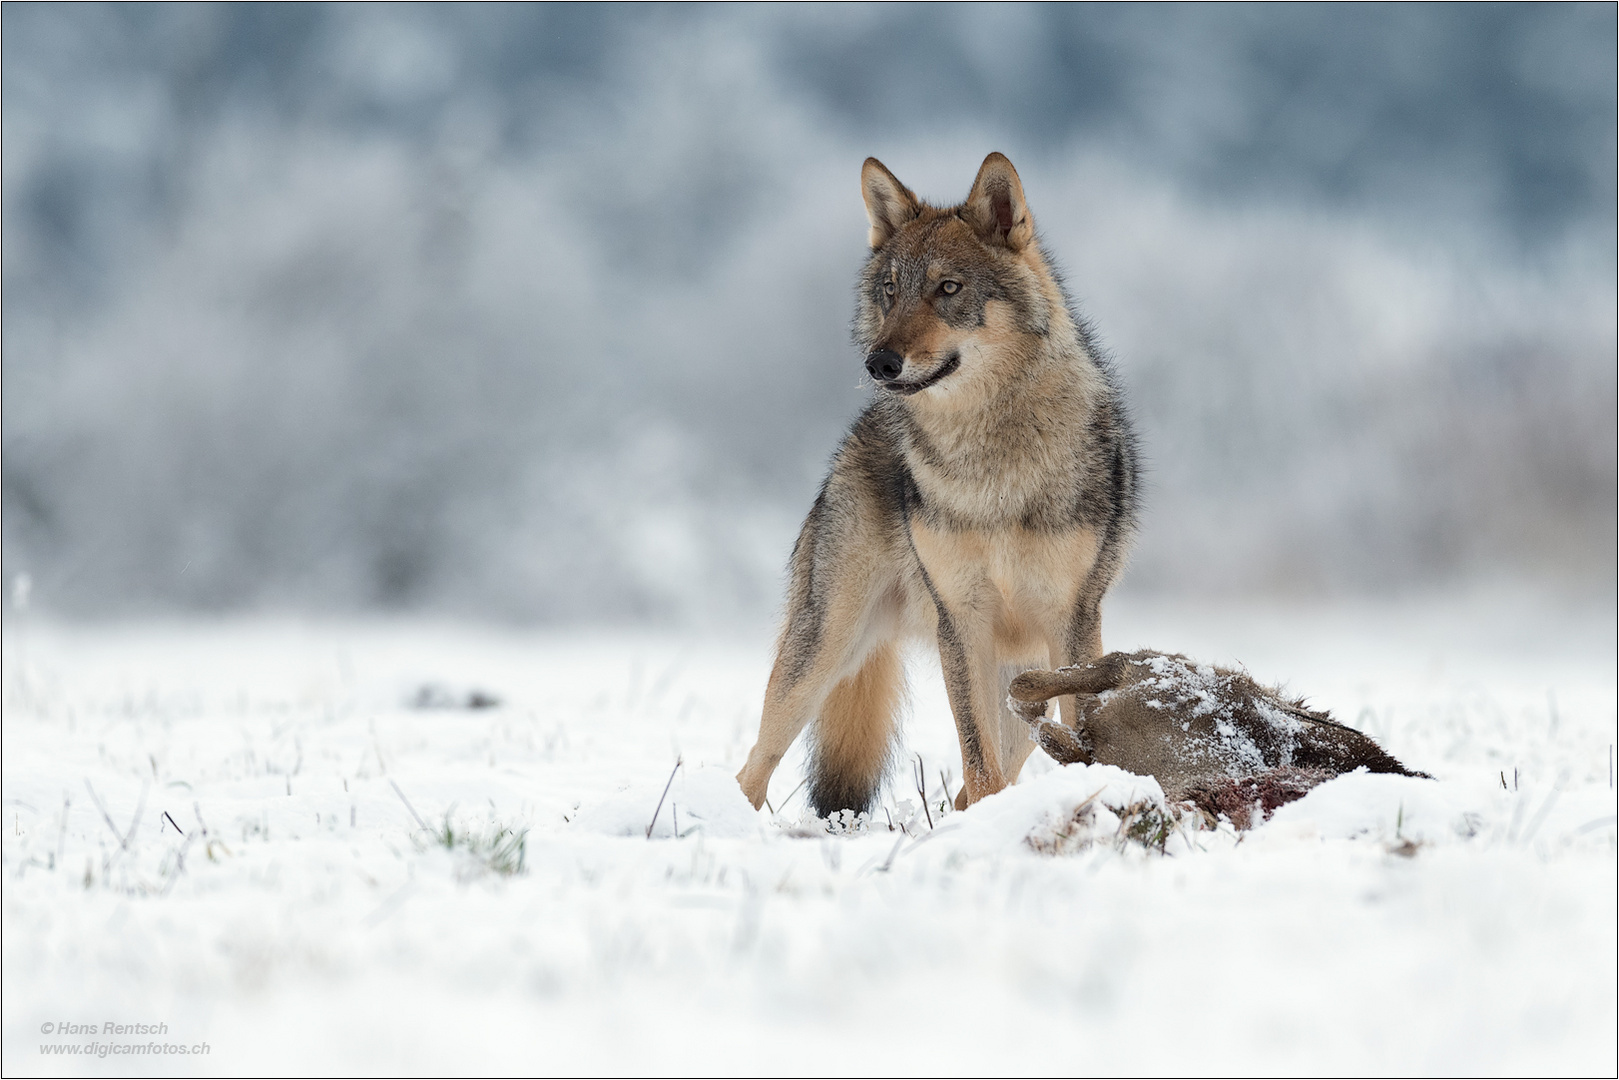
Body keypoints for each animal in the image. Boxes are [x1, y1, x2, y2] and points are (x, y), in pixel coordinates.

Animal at [738, 153, 1139, 819]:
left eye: (947, 288)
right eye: (890, 291)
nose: (879, 363)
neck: (990, 465)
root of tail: (861, 427)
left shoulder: (1073, 620)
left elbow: (1063, 736)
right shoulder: (961, 622)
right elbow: (976, 756)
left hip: (1023, 671)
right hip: (823, 653)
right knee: (751, 769)